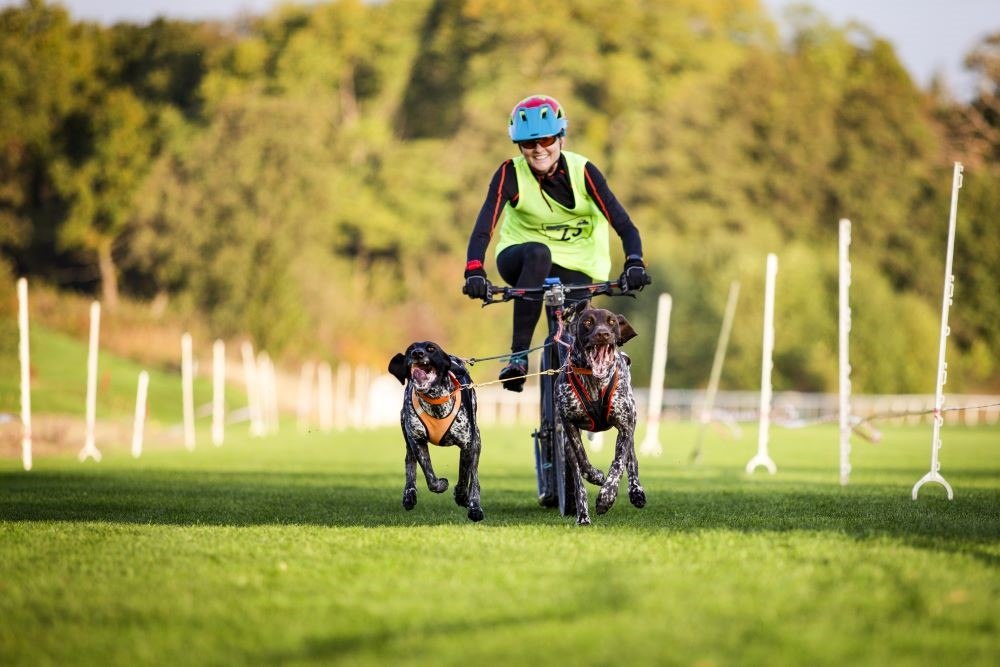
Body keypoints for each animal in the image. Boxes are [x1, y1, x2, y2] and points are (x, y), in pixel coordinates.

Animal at [386, 344, 484, 520]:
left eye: (431, 348)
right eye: (410, 349)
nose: (417, 353)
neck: (436, 401)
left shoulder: (468, 445)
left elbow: (466, 476)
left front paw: (466, 500)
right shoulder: (417, 441)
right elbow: (430, 477)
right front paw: (441, 485)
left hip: (477, 441)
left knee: (473, 475)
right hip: (407, 435)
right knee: (409, 461)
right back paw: (409, 494)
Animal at [560, 304, 644, 528]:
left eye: (612, 322)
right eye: (588, 322)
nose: (603, 334)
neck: (594, 382)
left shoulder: (625, 426)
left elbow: (618, 464)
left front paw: (607, 496)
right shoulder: (570, 425)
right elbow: (583, 463)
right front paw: (597, 476)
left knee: (632, 460)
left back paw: (637, 492)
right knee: (578, 478)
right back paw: (583, 516)